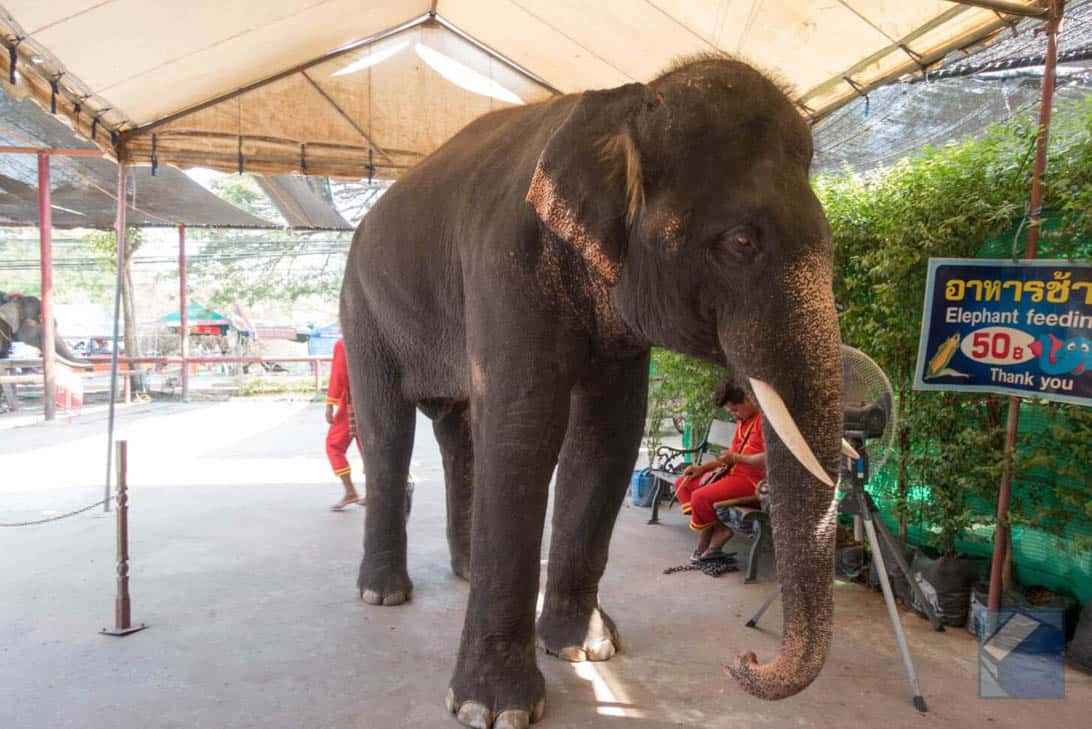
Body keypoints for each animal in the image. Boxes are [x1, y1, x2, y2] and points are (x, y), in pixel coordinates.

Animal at [340, 57, 843, 729]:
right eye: (741, 242)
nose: (745, 659)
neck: (624, 109)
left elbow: (610, 435)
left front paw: (587, 649)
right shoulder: (504, 262)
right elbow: (524, 431)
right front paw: (492, 709)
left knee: (458, 432)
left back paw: (467, 569)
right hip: (360, 307)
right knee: (388, 431)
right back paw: (384, 594)